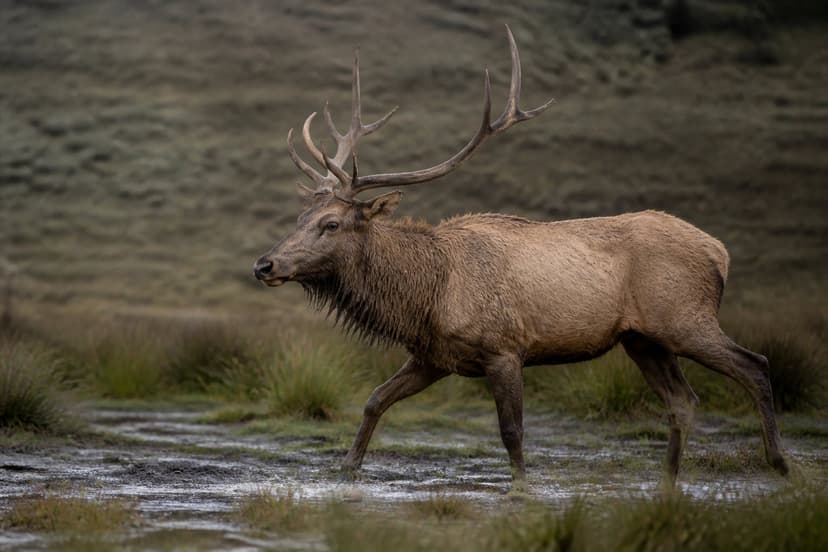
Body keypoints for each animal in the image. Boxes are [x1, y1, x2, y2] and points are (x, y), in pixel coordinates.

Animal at [253, 26, 788, 490]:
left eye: (331, 224)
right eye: (301, 215)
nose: (265, 265)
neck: (427, 295)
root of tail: (720, 251)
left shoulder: (505, 348)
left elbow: (512, 432)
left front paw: (523, 489)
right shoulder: (433, 356)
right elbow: (373, 400)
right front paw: (346, 470)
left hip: (684, 318)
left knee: (755, 364)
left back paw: (778, 465)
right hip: (644, 339)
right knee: (684, 401)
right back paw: (667, 483)